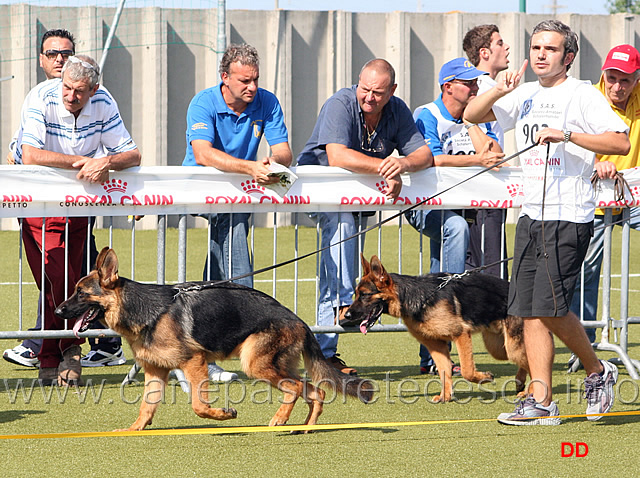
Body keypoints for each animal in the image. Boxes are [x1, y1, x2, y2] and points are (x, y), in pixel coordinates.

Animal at [56, 248, 376, 432]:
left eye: (81, 293)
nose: (58, 311)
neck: (144, 309)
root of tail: (299, 321)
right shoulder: (155, 371)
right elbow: (147, 405)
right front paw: (135, 428)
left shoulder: (193, 362)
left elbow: (199, 405)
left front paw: (223, 414)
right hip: (274, 365)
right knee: (315, 390)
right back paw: (305, 427)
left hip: (255, 364)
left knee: (296, 388)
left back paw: (280, 419)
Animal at [342, 256, 528, 402]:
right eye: (356, 294)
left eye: (364, 295)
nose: (347, 315)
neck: (418, 297)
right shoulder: (436, 345)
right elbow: (444, 370)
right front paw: (445, 396)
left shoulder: (460, 335)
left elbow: (467, 371)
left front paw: (484, 378)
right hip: (499, 348)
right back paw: (520, 382)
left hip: (511, 346)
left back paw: (529, 392)